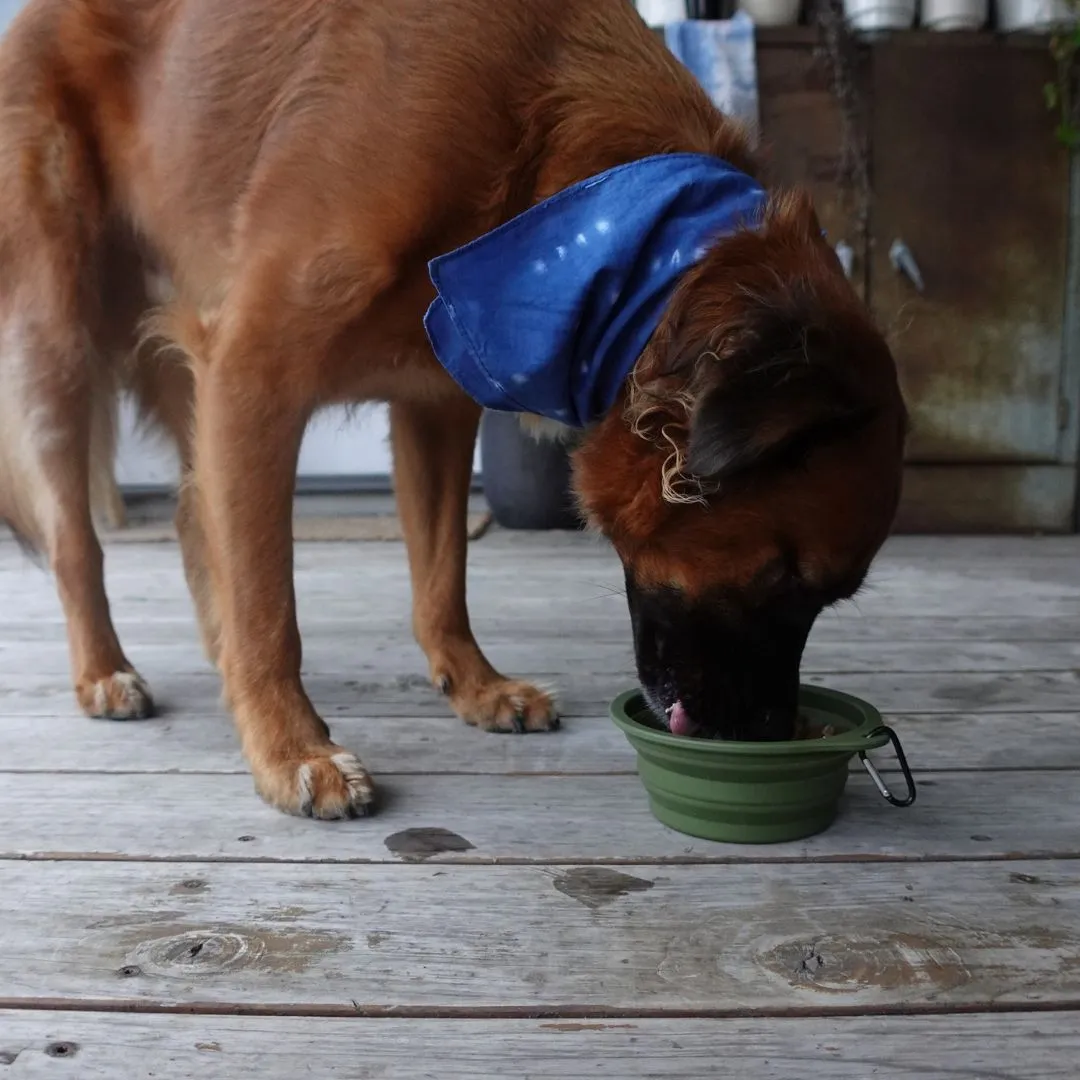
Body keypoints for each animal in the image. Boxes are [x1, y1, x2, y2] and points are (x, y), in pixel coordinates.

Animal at [0, 0, 907, 816]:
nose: (768, 733)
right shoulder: (253, 370)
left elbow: (441, 572)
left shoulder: (432, 401)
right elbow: (269, 601)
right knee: (77, 540)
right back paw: (105, 670)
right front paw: (290, 748)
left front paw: (474, 685)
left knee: (197, 516)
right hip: (60, 336)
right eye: (786, 578)